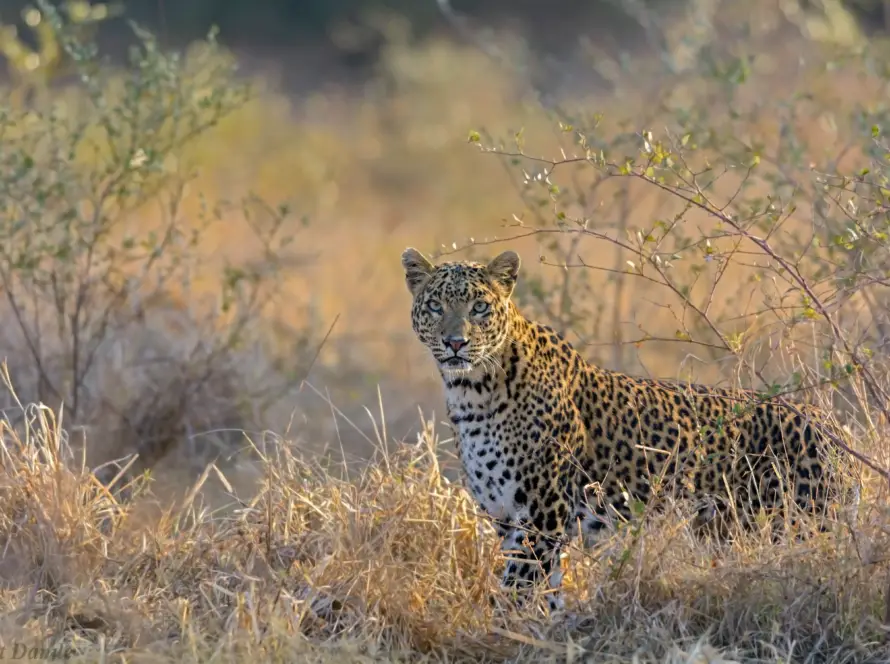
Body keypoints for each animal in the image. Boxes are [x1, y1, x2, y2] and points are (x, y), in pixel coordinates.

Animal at [401, 246, 855, 613]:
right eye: (436, 305)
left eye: (479, 307)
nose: (456, 343)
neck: (471, 392)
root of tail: (830, 422)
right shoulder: (508, 520)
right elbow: (547, 594)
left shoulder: (540, 518)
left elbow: (516, 592)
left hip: (803, 521)